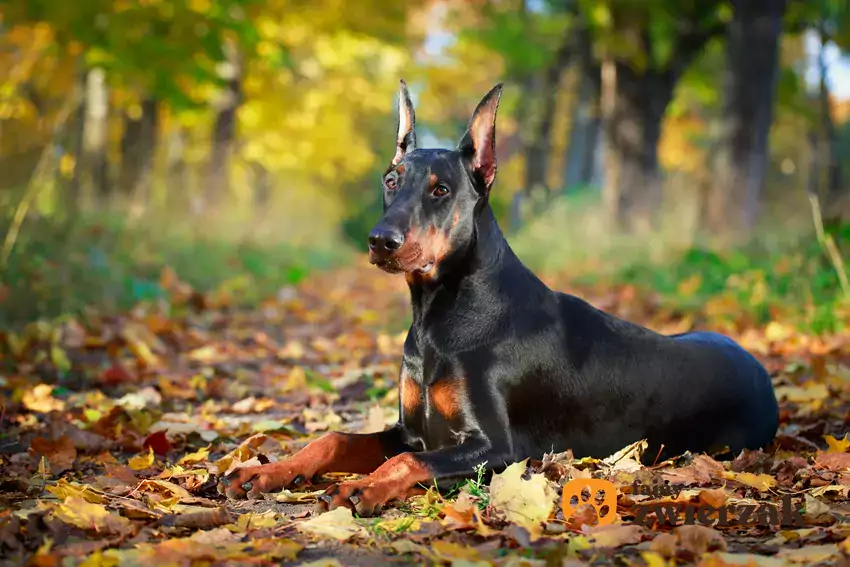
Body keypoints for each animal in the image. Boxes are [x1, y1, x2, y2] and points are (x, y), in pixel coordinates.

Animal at [217, 81, 776, 520]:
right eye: (391, 180)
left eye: (441, 190)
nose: (380, 241)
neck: (440, 316)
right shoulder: (411, 429)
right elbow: (333, 438)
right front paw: (266, 471)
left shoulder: (499, 449)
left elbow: (406, 461)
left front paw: (363, 487)